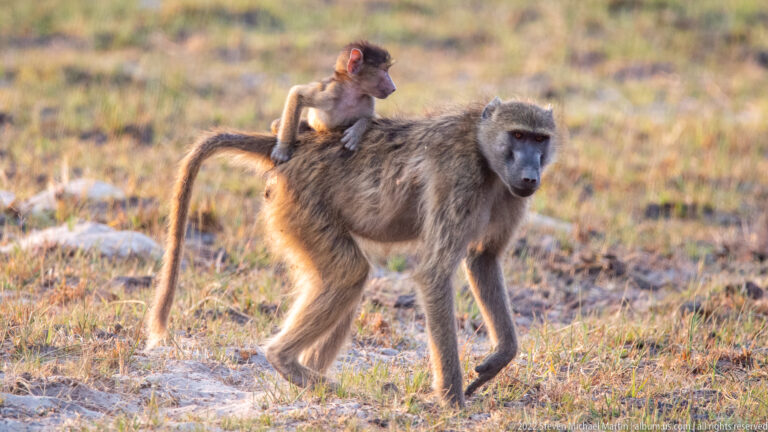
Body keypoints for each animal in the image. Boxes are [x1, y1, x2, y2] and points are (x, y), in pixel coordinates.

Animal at [146, 97, 560, 407]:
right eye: (517, 135)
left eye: (539, 140)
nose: (529, 176)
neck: (482, 151)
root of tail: (294, 148)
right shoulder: (458, 178)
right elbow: (434, 272)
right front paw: (452, 401)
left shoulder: (508, 197)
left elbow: (483, 259)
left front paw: (499, 358)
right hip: (301, 206)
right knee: (349, 274)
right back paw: (287, 363)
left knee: (342, 280)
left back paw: (308, 380)